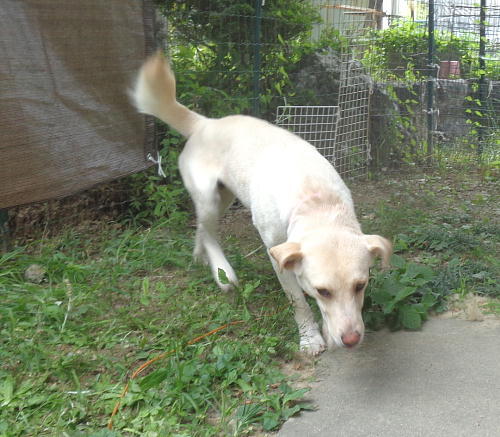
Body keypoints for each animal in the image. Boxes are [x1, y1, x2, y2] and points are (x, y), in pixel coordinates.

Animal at [133, 53, 392, 355]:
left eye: (360, 285)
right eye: (322, 291)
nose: (351, 340)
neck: (316, 202)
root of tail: (204, 124)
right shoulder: (277, 255)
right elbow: (298, 303)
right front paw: (310, 338)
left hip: (225, 197)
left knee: (201, 228)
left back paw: (200, 256)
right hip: (209, 198)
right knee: (208, 232)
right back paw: (222, 272)